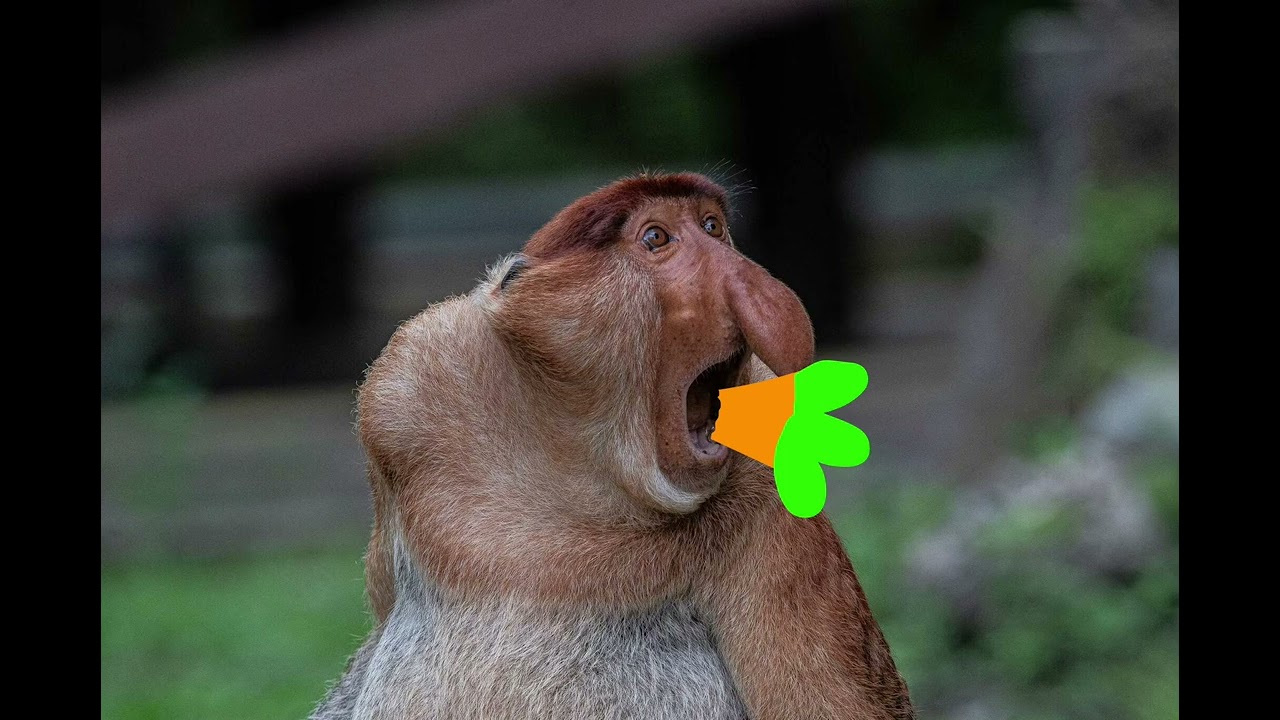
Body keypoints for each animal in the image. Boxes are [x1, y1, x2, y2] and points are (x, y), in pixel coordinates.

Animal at [310, 173, 913, 720]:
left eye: (713, 228)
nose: (764, 293)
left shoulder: (774, 503)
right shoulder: (403, 392)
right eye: (656, 238)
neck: (584, 467)